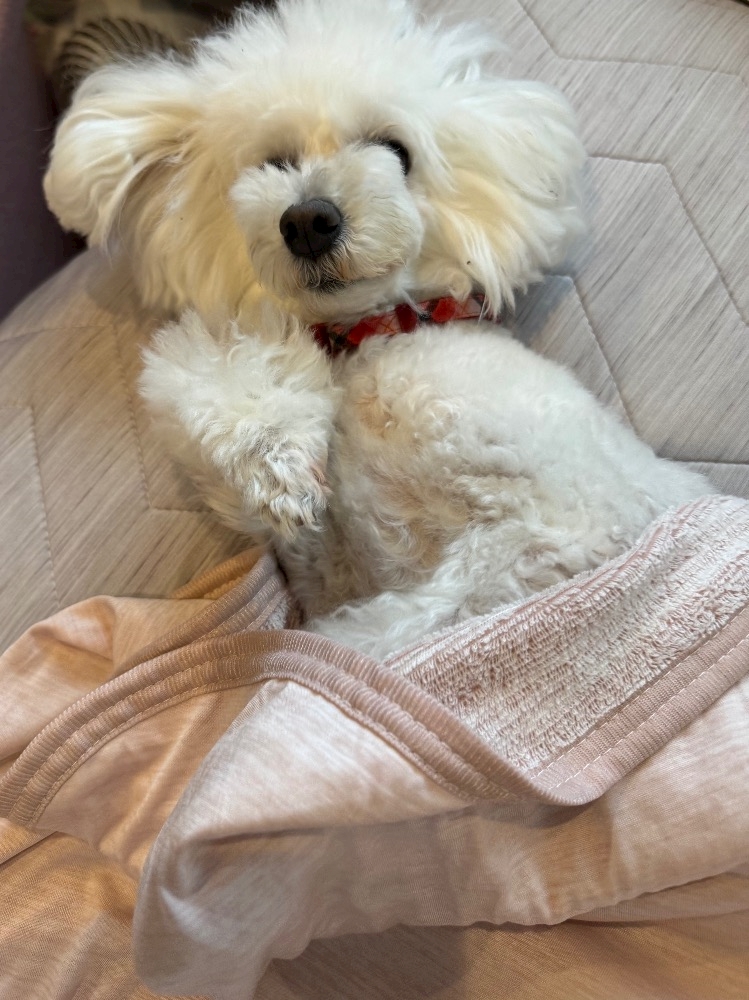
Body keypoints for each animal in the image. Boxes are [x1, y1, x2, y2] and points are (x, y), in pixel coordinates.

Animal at [44, 0, 712, 659]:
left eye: (395, 150)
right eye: (276, 161)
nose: (307, 220)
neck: (374, 338)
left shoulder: (566, 519)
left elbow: (391, 633)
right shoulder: (324, 567)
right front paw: (276, 463)